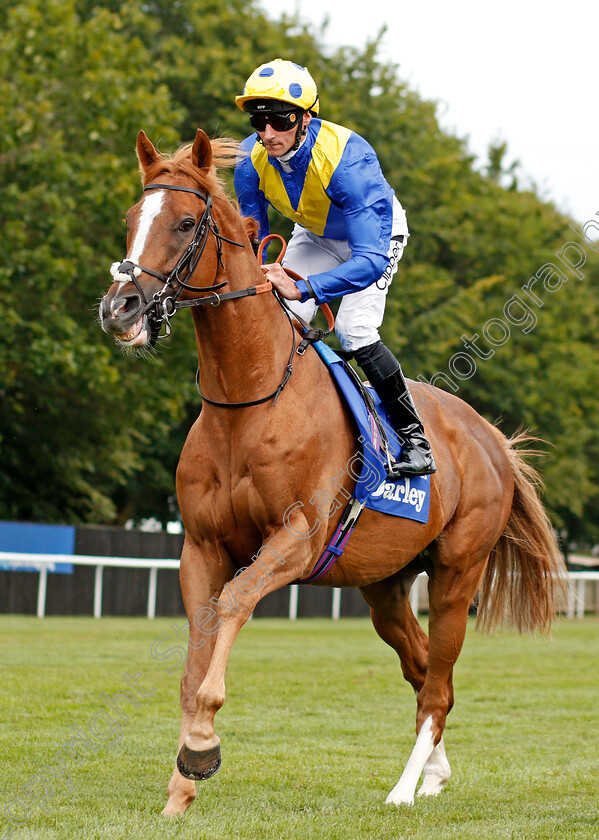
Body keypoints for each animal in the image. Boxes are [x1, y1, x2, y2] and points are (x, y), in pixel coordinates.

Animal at [99, 130, 568, 812]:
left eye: (185, 223)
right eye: (132, 220)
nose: (121, 308)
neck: (251, 399)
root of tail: (490, 440)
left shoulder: (295, 538)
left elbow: (235, 604)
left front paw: (203, 744)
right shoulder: (201, 546)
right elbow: (194, 652)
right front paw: (181, 782)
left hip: (458, 573)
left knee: (438, 687)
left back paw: (403, 790)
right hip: (386, 586)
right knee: (423, 669)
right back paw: (434, 775)